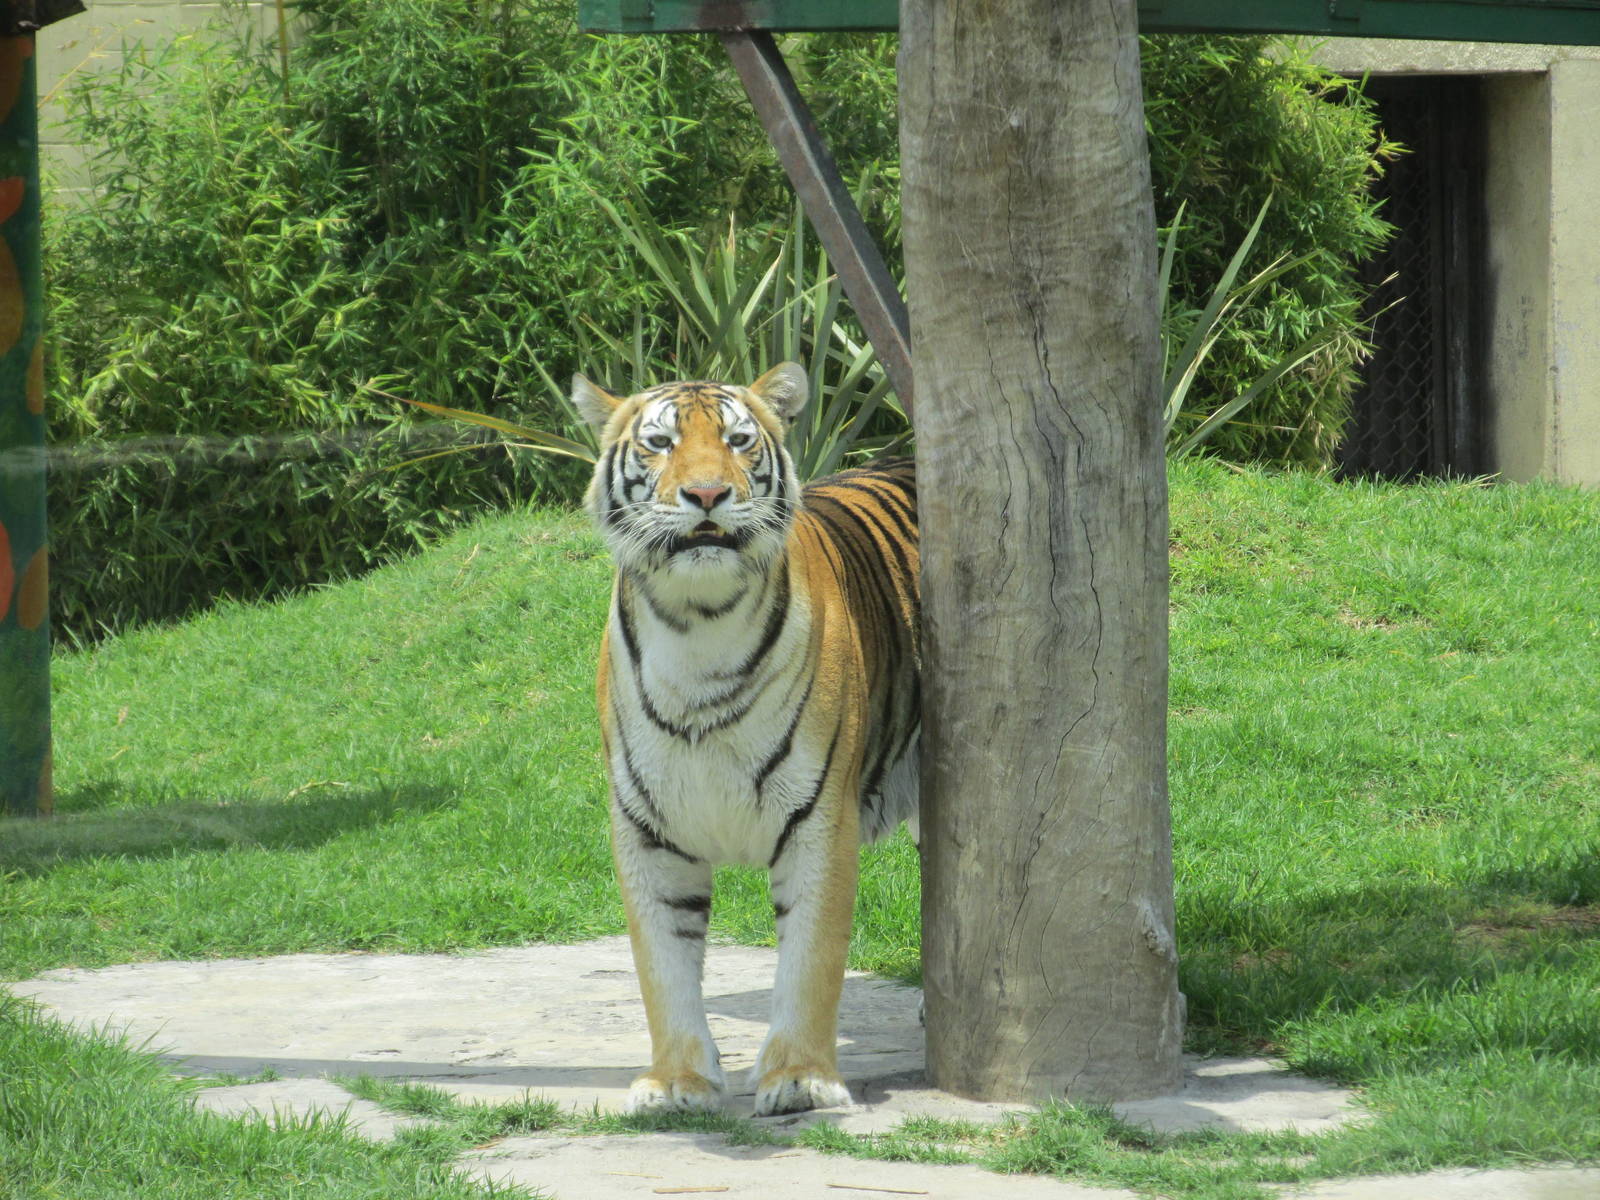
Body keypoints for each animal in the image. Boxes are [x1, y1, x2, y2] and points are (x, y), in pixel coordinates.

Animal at [572, 362, 919, 1117]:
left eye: (737, 440)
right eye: (661, 444)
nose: (707, 494)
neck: (699, 626)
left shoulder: (819, 818)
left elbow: (811, 958)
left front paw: (801, 1078)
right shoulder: (646, 830)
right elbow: (662, 965)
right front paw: (677, 1081)